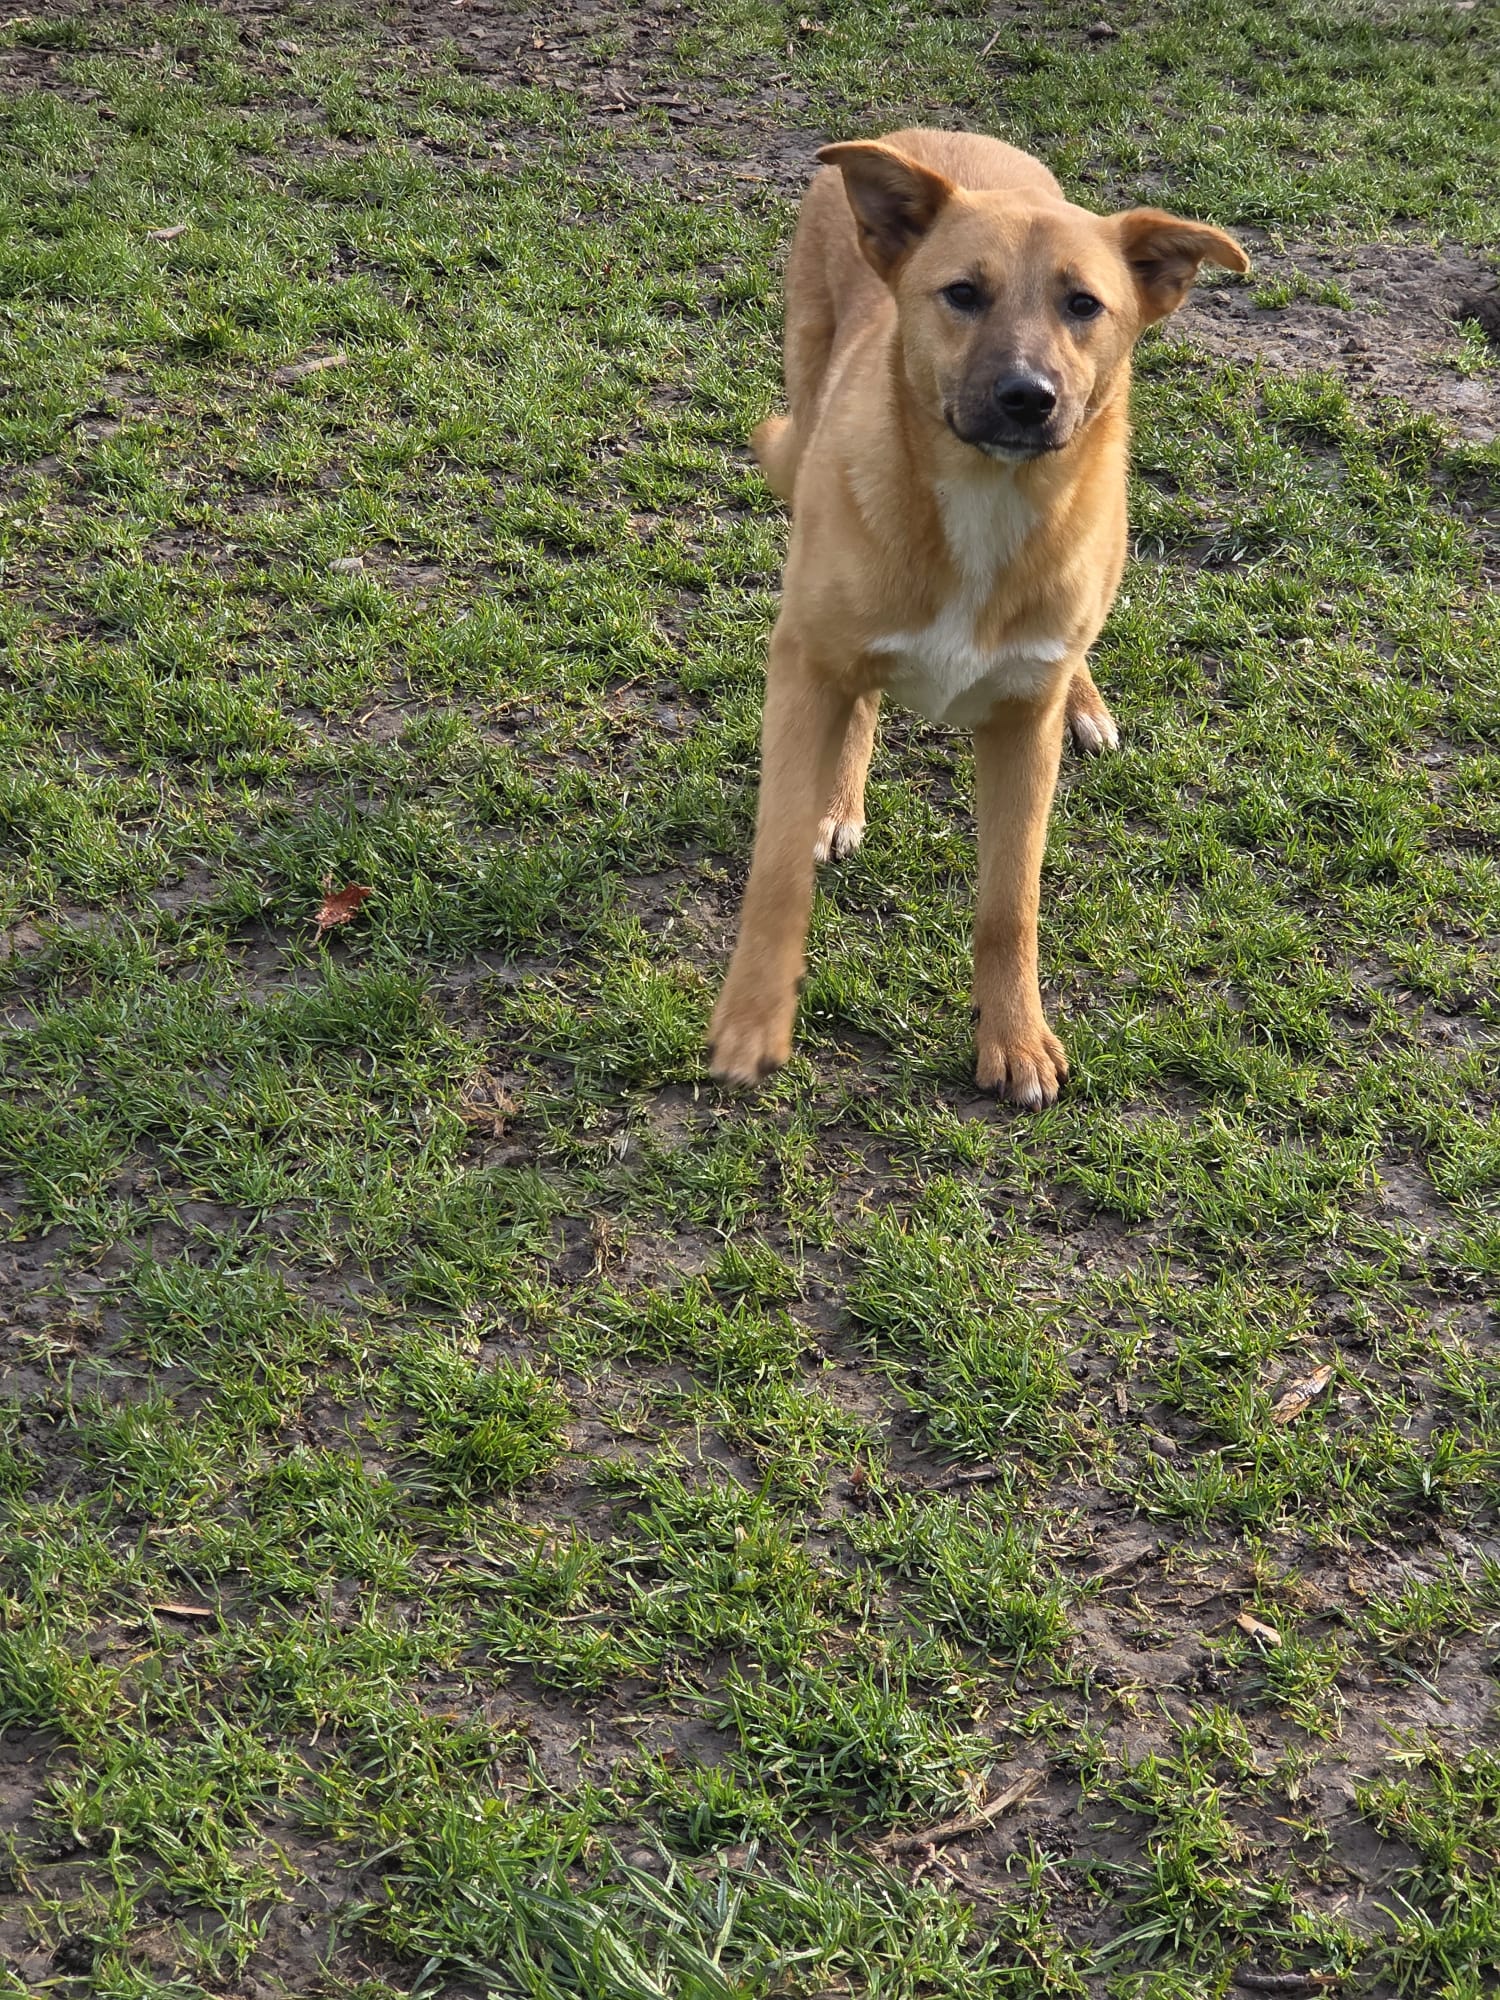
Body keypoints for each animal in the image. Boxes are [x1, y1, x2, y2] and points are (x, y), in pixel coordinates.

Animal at [707, 128, 1247, 1105]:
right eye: (963, 293)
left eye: (1084, 304)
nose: (1028, 396)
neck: (987, 501)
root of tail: (934, 135)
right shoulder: (805, 665)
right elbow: (776, 869)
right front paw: (753, 1022)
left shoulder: (1021, 728)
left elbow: (1010, 901)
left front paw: (1016, 1037)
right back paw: (839, 796)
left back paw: (1085, 702)